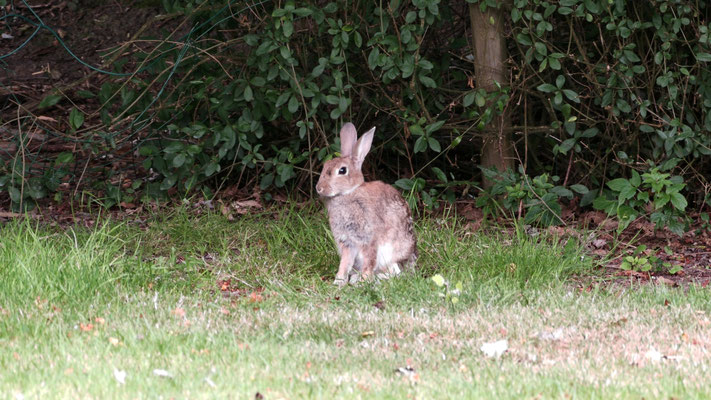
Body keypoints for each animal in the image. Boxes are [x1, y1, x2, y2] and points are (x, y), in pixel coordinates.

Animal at [316, 122, 417, 286]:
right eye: (325, 166)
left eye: (342, 170)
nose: (319, 188)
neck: (348, 194)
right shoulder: (347, 243)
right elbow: (345, 263)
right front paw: (339, 281)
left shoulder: (369, 239)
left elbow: (369, 261)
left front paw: (363, 282)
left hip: (391, 253)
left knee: (395, 273)